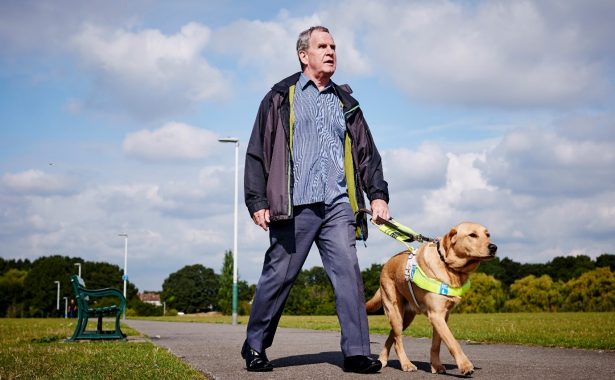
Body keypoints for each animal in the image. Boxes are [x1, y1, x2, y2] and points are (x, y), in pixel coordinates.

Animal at [366, 221, 496, 376]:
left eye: (487, 235)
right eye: (472, 235)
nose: (494, 247)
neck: (450, 267)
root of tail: (385, 265)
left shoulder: (443, 316)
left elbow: (436, 344)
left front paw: (436, 366)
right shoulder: (436, 315)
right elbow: (452, 342)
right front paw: (465, 365)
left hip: (405, 318)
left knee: (392, 336)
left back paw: (382, 359)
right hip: (394, 311)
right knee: (398, 341)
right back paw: (406, 364)